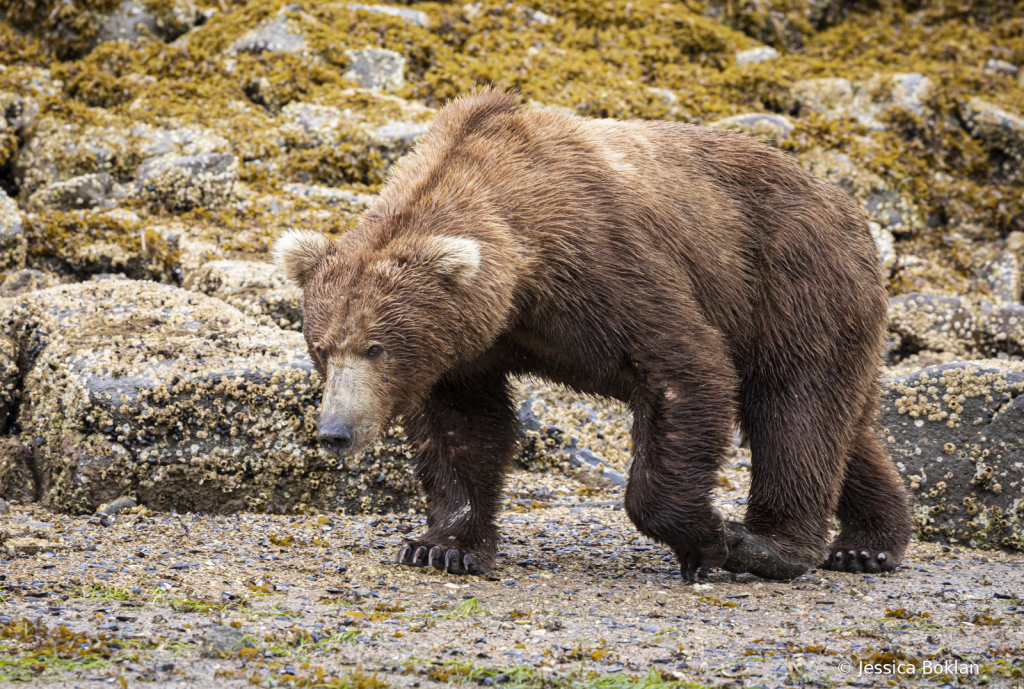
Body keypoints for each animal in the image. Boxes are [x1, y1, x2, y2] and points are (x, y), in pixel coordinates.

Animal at [274, 85, 913, 581]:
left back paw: (768, 545)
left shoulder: (603, 265)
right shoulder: (468, 346)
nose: (335, 431)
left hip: (792, 282)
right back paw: (868, 543)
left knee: (794, 407)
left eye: (375, 346)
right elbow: (464, 428)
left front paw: (706, 538)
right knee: (845, 423)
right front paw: (441, 545)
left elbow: (686, 368)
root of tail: (845, 204)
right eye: (321, 349)